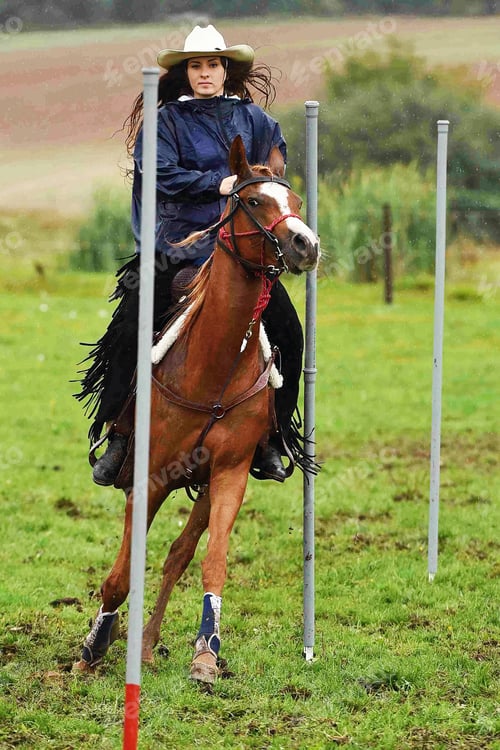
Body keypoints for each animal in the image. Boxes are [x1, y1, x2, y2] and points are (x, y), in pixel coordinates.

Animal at [73, 135, 319, 684]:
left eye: (295, 201)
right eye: (254, 201)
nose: (306, 245)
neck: (213, 366)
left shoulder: (230, 473)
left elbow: (211, 562)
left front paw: (206, 653)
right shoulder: (149, 476)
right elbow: (121, 574)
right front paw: (92, 648)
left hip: (204, 482)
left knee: (178, 555)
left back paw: (147, 644)